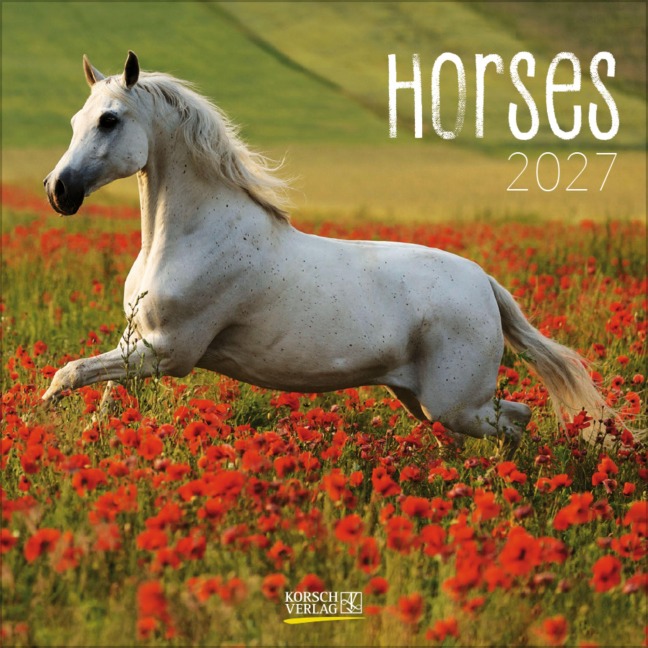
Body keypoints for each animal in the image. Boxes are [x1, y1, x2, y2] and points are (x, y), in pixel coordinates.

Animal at [43, 51, 610, 452]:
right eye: (73, 120)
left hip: (455, 402)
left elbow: (70, 372)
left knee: (519, 420)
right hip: (425, 401)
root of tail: (485, 283)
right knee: (514, 419)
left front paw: (42, 412)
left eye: (110, 120)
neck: (190, 237)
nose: (57, 190)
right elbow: (102, 397)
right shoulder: (134, 342)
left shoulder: (169, 352)